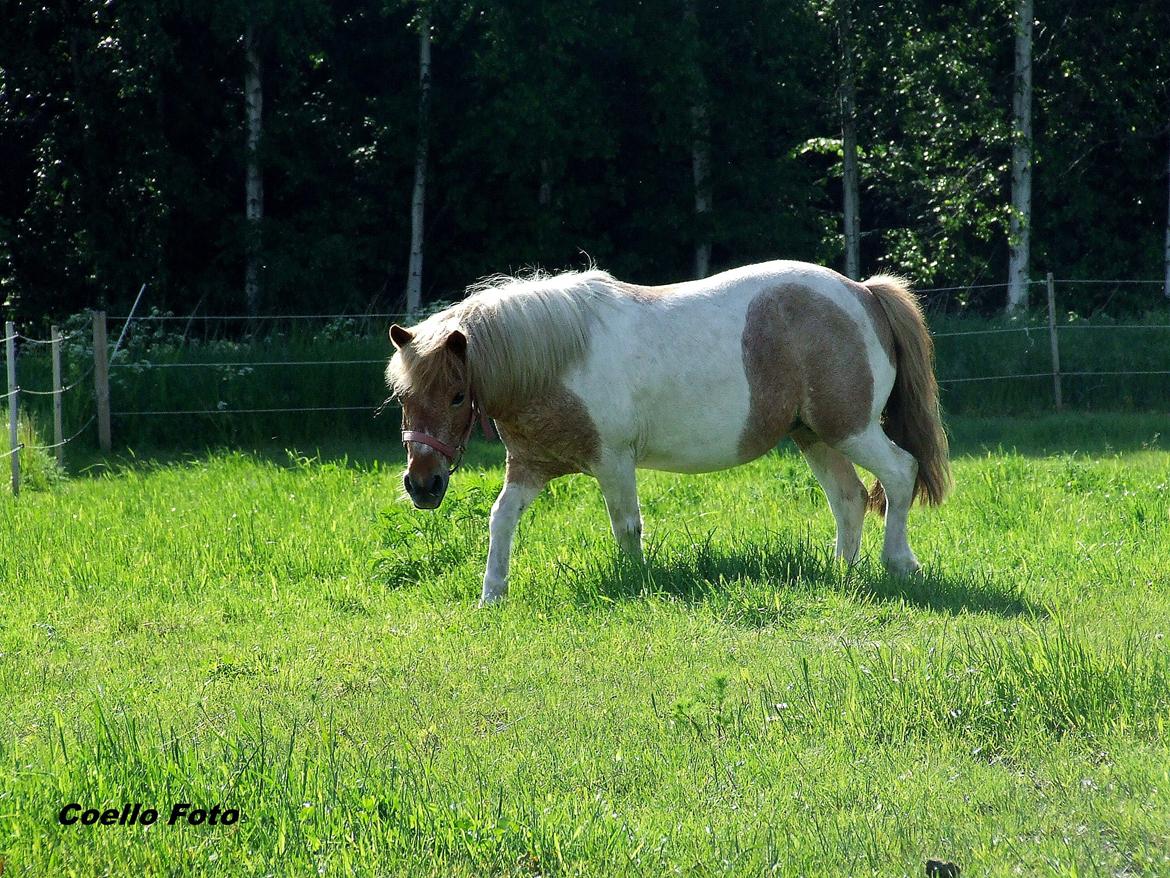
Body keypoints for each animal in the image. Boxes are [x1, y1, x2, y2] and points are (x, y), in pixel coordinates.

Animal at [388, 261, 954, 604]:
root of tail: (863, 293)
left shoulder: (613, 462)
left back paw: (898, 563)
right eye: (403, 396)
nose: (422, 485)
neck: (556, 357)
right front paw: (492, 595)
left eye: (456, 395)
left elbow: (627, 527)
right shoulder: (530, 467)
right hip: (814, 436)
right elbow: (501, 519)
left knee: (900, 473)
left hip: (852, 430)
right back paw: (841, 574)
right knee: (849, 497)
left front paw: (636, 584)